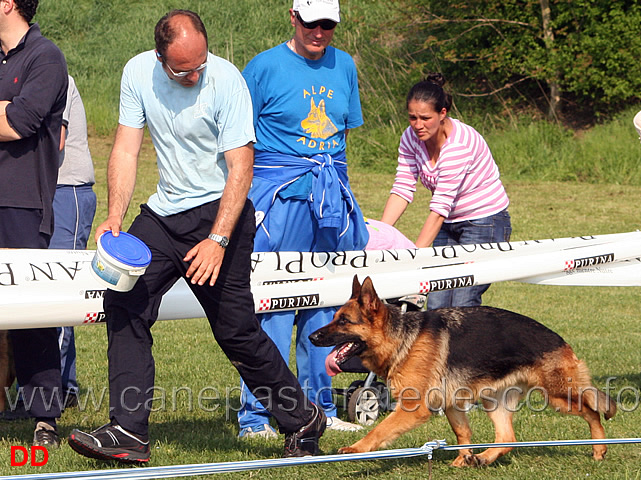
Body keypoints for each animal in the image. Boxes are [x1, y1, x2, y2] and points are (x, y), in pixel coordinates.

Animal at [308, 276, 616, 466]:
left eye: (344, 321)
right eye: (334, 318)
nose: (311, 337)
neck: (402, 339)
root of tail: (560, 339)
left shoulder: (413, 407)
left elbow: (379, 430)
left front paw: (356, 449)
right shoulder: (452, 403)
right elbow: (462, 434)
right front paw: (462, 457)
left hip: (559, 396)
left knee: (592, 411)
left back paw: (600, 448)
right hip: (494, 401)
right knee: (507, 439)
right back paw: (483, 458)